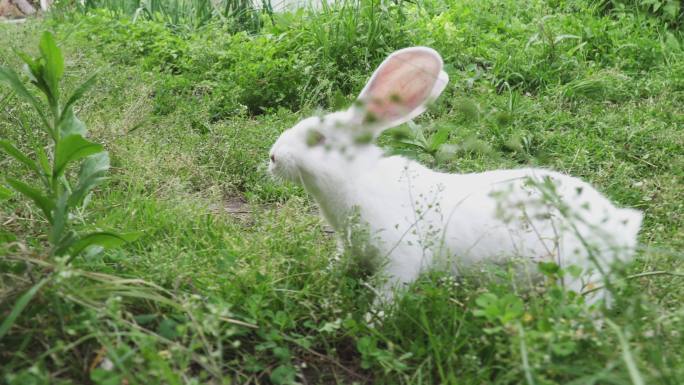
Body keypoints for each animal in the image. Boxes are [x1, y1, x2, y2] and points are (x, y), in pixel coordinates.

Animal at [270, 46, 644, 306]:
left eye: (318, 139)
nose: (273, 157)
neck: (356, 178)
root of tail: (620, 224)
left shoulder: (400, 261)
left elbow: (388, 297)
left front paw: (372, 323)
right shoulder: (348, 247)